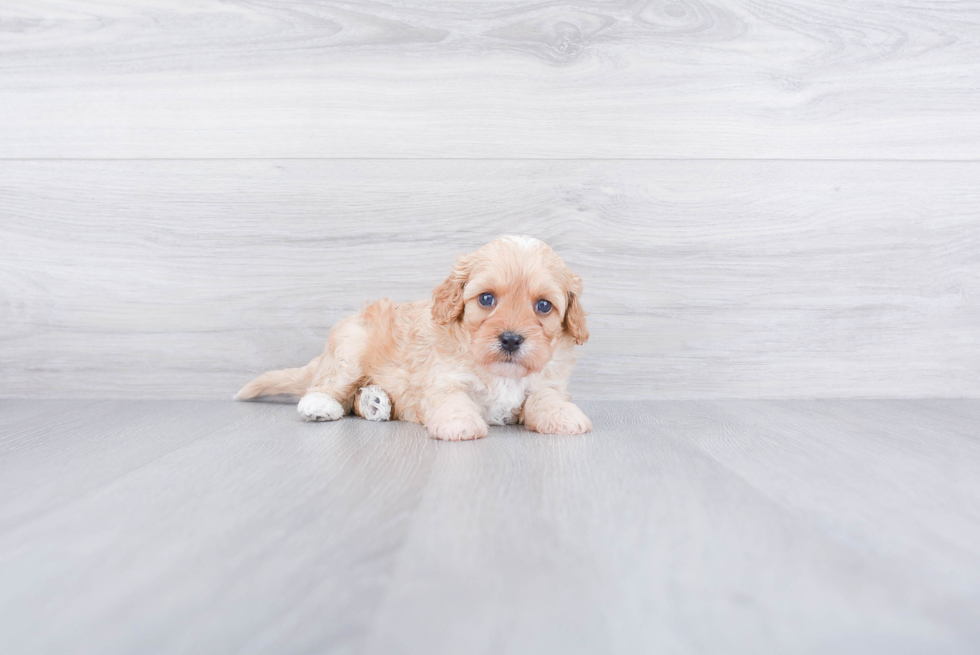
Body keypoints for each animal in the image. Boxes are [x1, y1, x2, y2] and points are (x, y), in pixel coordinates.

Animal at [237, 236, 588, 440]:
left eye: (544, 306)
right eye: (486, 299)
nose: (512, 340)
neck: (500, 372)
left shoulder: (547, 382)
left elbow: (546, 398)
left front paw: (564, 416)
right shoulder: (442, 380)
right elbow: (453, 400)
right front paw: (460, 424)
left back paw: (374, 402)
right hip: (351, 348)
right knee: (329, 386)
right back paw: (322, 405)